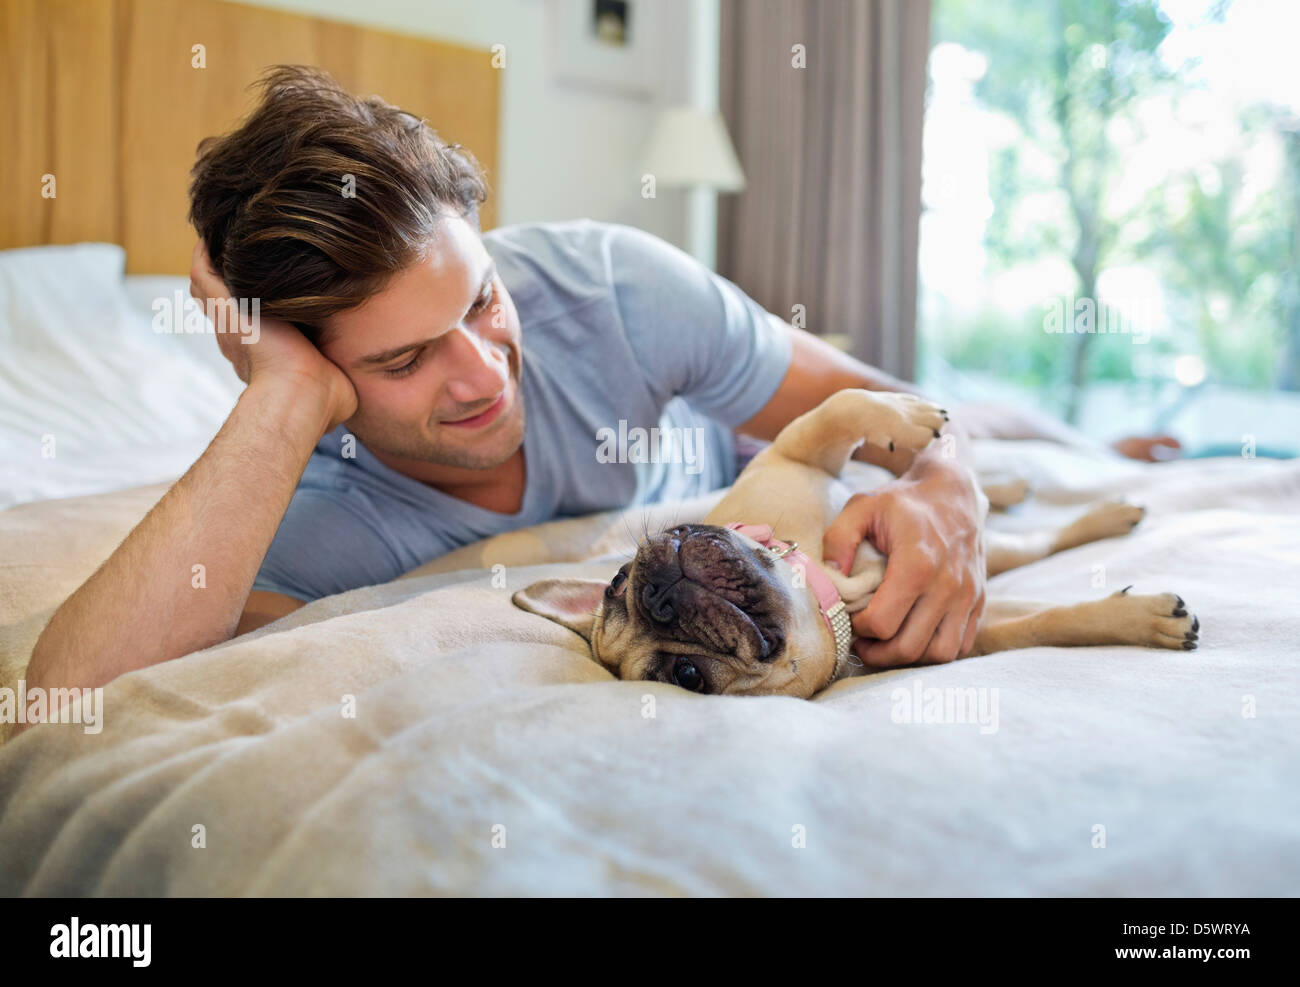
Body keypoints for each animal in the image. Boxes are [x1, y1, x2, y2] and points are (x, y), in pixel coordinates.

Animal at [512, 390, 1201, 697]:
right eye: (688, 677)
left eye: (615, 582)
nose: (657, 595)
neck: (834, 593)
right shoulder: (971, 630)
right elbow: (1047, 622)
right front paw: (1142, 620)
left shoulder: (797, 453)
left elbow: (839, 408)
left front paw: (912, 418)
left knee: (1020, 526)